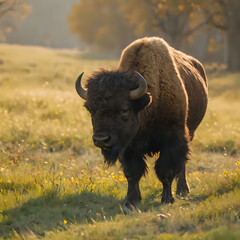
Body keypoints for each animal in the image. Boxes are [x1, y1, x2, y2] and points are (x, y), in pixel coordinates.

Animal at [75, 36, 208, 213]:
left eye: (124, 109)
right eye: (90, 108)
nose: (101, 140)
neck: (147, 103)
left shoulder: (173, 139)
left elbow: (166, 170)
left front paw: (167, 199)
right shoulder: (128, 146)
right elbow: (133, 173)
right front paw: (131, 202)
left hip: (190, 133)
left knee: (183, 164)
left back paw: (182, 190)